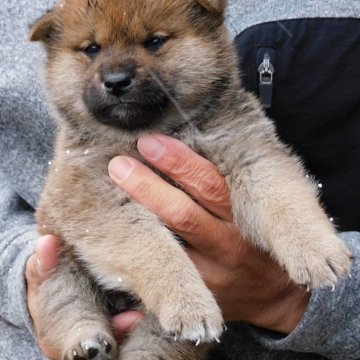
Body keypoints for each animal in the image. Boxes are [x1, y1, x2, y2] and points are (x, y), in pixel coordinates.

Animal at [30, 0, 352, 360]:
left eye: (154, 41)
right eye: (91, 48)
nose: (115, 81)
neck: (155, 130)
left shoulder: (249, 152)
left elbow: (284, 201)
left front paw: (318, 251)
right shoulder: (96, 194)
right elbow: (153, 245)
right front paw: (186, 301)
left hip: (155, 329)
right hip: (57, 265)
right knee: (65, 305)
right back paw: (86, 342)